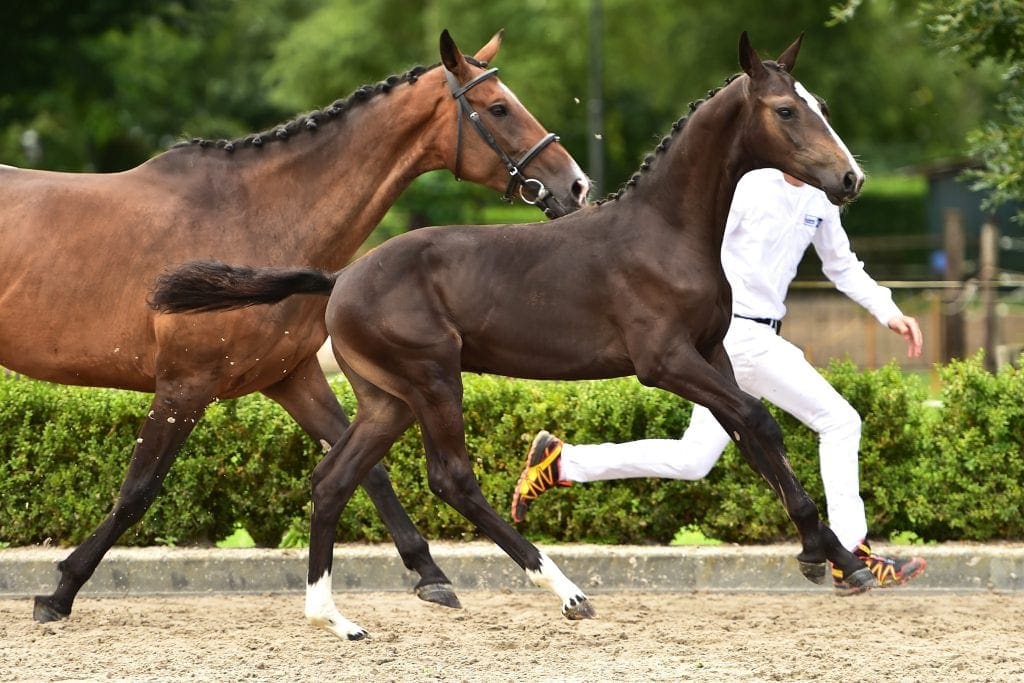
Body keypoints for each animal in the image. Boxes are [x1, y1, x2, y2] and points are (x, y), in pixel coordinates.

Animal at [0, 29, 589, 625]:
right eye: (498, 107)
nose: (576, 186)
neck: (257, 216)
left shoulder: (292, 377)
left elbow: (367, 471)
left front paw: (430, 576)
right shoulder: (184, 387)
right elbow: (138, 490)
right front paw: (60, 591)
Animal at [151, 32, 876, 640]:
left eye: (817, 105)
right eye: (785, 111)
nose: (851, 178)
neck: (664, 231)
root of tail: (341, 277)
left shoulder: (713, 353)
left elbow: (753, 436)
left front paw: (836, 556)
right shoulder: (664, 360)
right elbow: (758, 420)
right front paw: (830, 553)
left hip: (389, 399)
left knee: (333, 479)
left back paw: (335, 617)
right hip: (432, 376)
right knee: (450, 477)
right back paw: (566, 591)